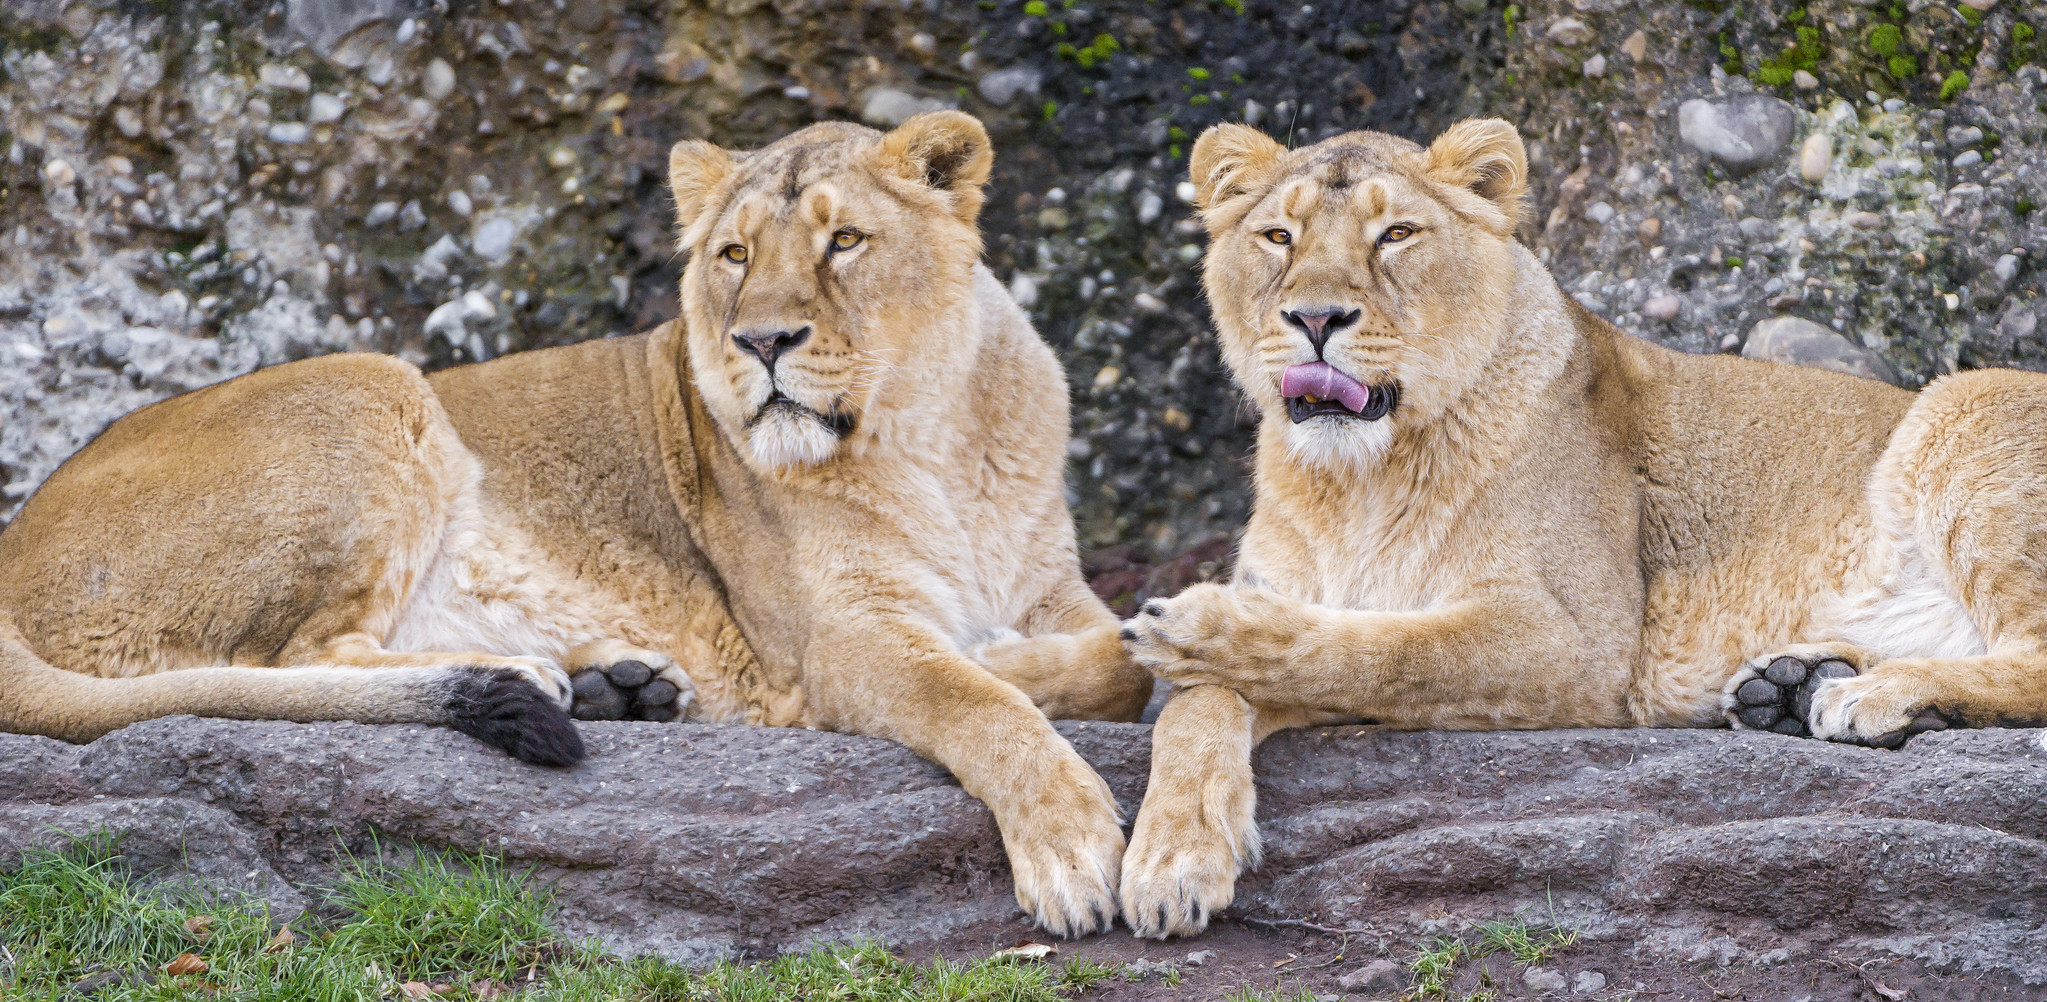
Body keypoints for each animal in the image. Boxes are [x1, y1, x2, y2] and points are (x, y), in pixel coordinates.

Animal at [0, 112, 1152, 936]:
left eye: (845, 241)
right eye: (735, 256)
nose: (761, 342)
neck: (934, 435)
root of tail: (10, 541)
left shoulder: (1054, 586)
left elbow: (1114, 658)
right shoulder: (834, 641)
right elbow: (980, 699)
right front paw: (1069, 845)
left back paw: (624, 687)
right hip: (375, 386)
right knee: (285, 663)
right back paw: (533, 675)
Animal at [1113, 117, 2047, 937]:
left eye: (1396, 234)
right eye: (1277, 236)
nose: (1313, 319)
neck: (1354, 480)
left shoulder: (1582, 641)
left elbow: (1382, 651)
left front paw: (1199, 626)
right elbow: (1194, 709)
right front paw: (1172, 861)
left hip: (1966, 405)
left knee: (2030, 657)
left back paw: (1865, 695)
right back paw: (1791, 685)